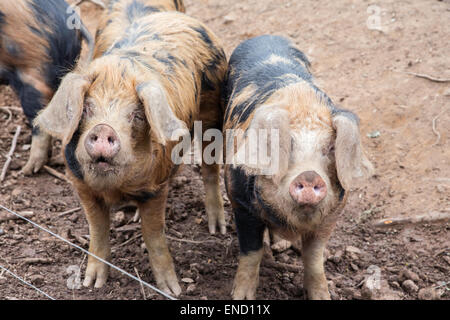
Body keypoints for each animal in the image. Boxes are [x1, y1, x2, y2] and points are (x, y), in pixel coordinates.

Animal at [33, 0, 227, 296]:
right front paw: (92, 284)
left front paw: (172, 290)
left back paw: (218, 229)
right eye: (87, 108)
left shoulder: (156, 186)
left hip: (212, 109)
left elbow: (154, 235)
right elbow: (98, 230)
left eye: (136, 114)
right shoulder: (80, 185)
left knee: (210, 168)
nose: (104, 129)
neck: (116, 188)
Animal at [223, 35, 374, 300]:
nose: (310, 175)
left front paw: (323, 297)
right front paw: (240, 297)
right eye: (284, 145)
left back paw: (282, 245)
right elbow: (251, 253)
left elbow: (314, 259)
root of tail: (265, 35)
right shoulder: (240, 202)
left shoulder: (332, 215)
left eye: (331, 148)